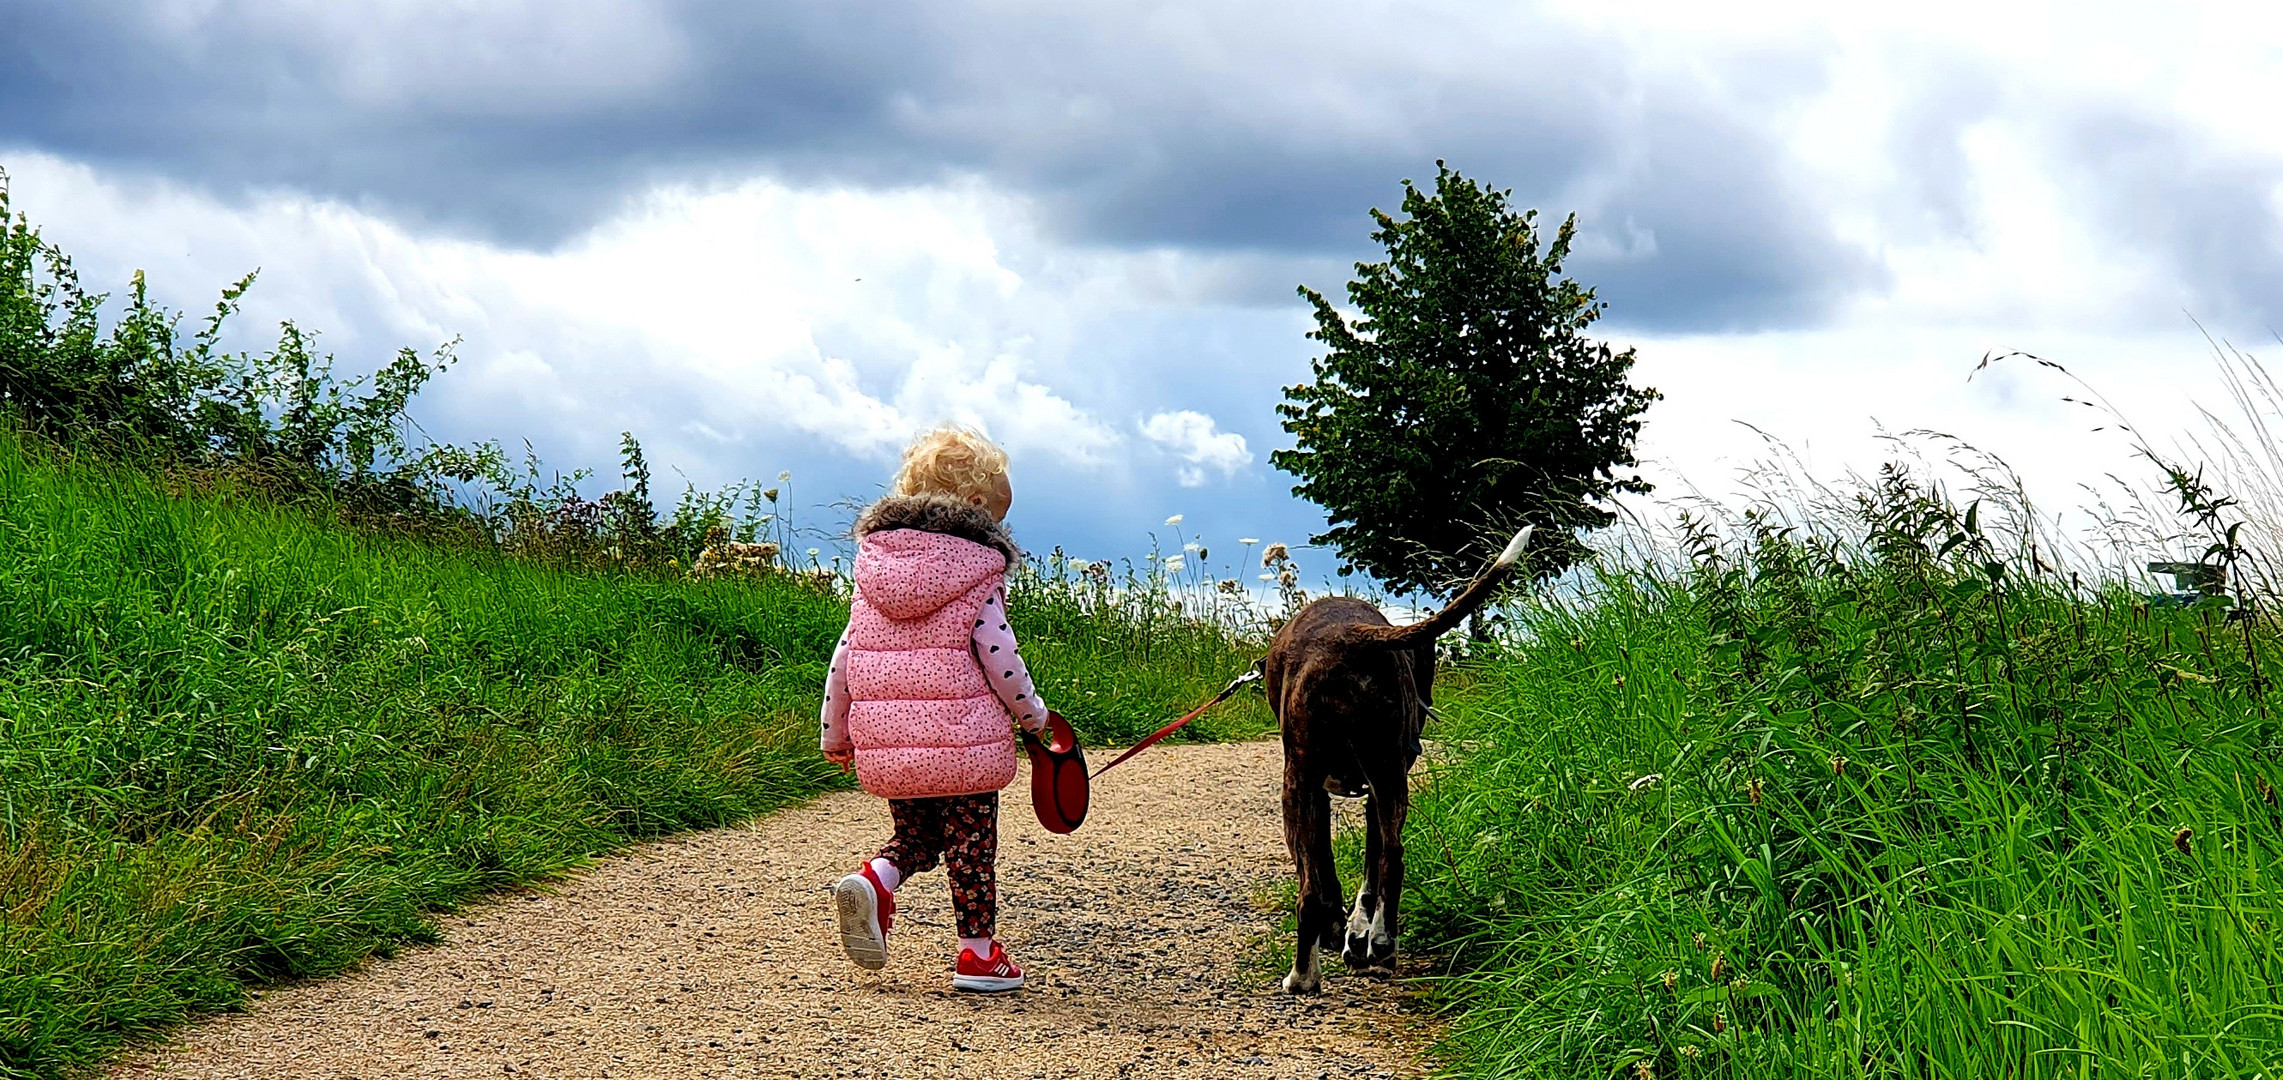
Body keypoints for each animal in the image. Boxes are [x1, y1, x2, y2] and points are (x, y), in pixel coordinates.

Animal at [1269, 525, 1534, 990]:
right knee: (1393, 858)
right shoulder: (1375, 791)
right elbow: (1371, 869)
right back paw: (1383, 944)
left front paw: (1341, 931)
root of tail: (1353, 637)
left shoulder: (1313, 790)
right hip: (1390, 776)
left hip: (1300, 785)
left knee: (1310, 891)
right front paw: (1358, 935)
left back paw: (1303, 975)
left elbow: (1325, 871)